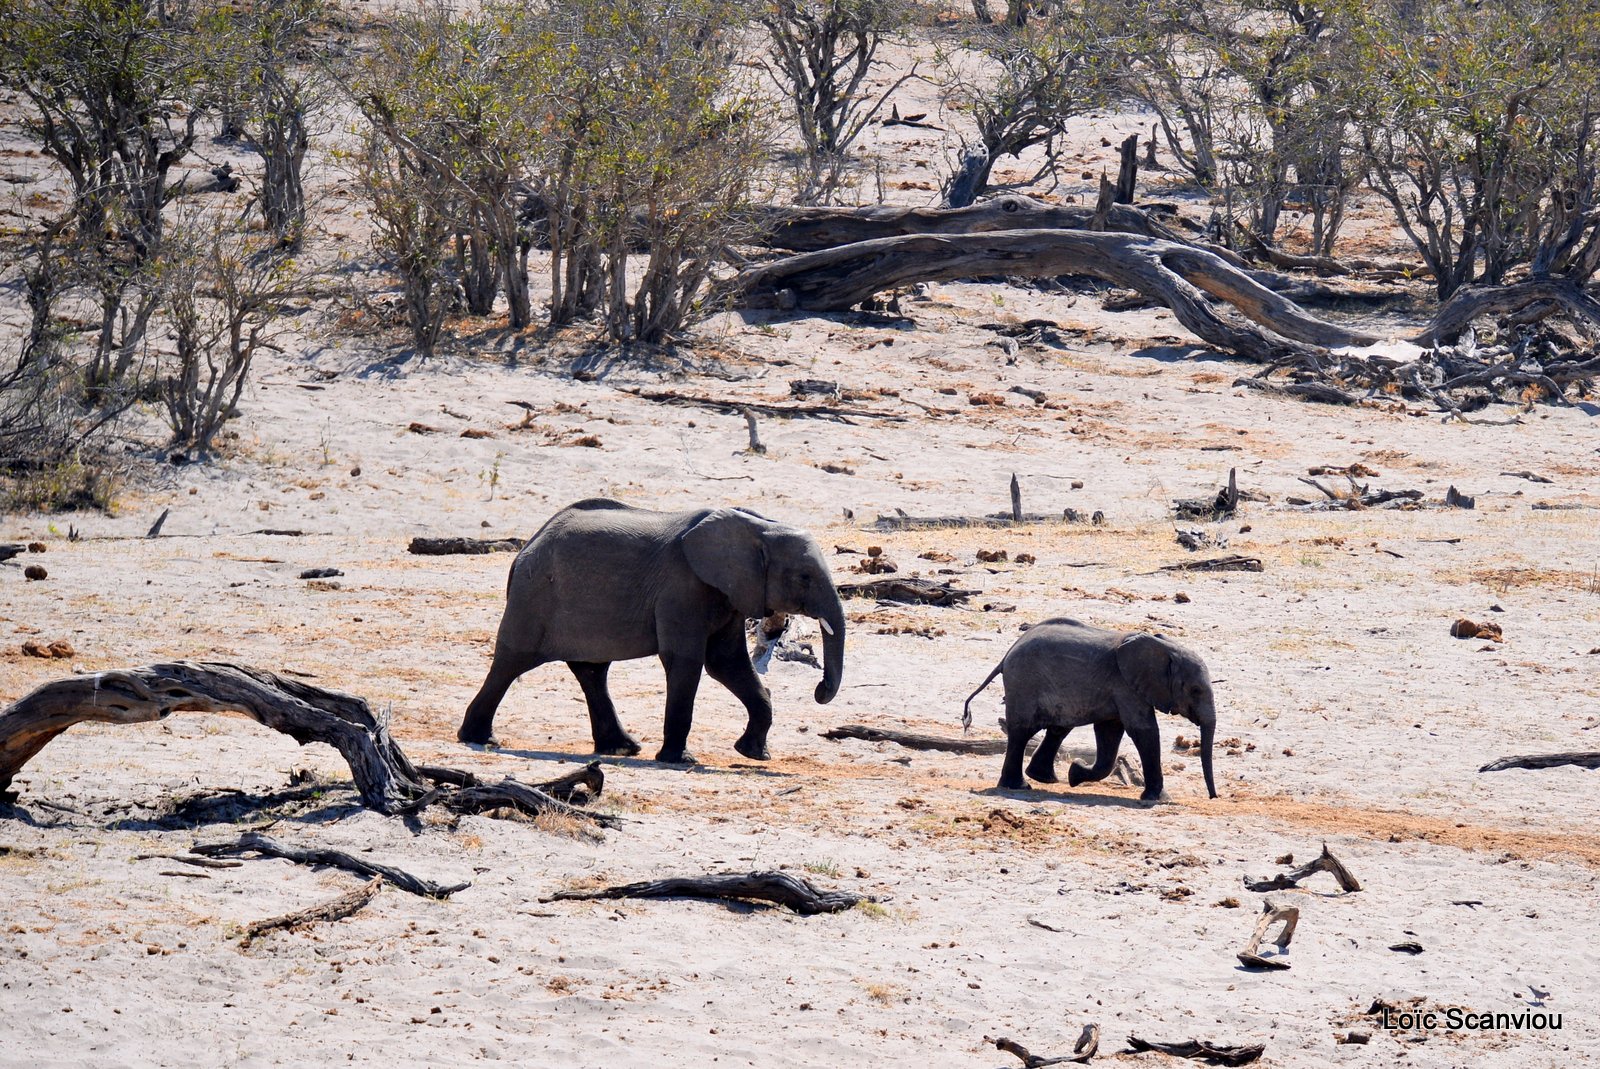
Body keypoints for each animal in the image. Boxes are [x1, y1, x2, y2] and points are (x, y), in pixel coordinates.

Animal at [454, 496, 844, 764]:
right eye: (804, 577)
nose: (819, 691)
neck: (756, 526)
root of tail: (524, 550)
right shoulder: (682, 587)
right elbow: (687, 660)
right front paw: (679, 760)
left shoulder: (728, 592)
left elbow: (726, 663)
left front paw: (754, 755)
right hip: (533, 596)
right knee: (512, 661)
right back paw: (481, 740)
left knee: (592, 671)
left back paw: (621, 748)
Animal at [966, 617, 1216, 800]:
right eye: (1195, 690)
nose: (1213, 796)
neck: (1164, 647)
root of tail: (1006, 655)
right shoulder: (1125, 686)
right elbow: (1144, 731)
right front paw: (1159, 800)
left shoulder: (1119, 689)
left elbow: (1110, 732)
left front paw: (1075, 774)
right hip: (1024, 684)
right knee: (1022, 732)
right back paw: (1019, 786)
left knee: (1058, 729)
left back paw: (1045, 779)